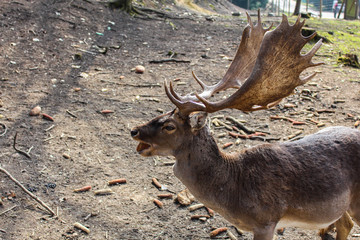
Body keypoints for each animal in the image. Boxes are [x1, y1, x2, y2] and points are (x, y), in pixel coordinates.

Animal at [130, 11, 360, 240]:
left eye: (169, 126)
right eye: (160, 113)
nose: (134, 130)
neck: (233, 192)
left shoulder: (266, 221)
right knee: (345, 224)